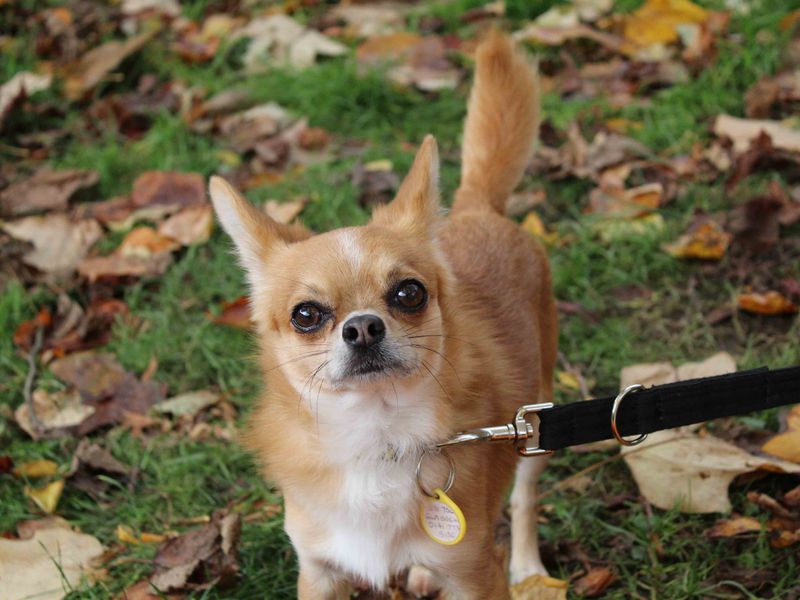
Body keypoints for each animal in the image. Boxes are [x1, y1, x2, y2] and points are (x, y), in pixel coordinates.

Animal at [208, 31, 556, 600]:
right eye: (306, 314)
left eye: (409, 293)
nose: (364, 327)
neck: (375, 441)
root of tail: (477, 207)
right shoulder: (320, 572)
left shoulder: (474, 575)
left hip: (534, 421)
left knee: (525, 499)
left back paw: (529, 568)